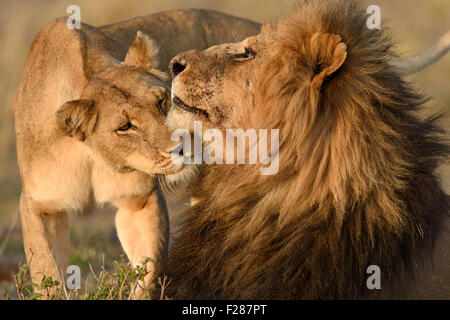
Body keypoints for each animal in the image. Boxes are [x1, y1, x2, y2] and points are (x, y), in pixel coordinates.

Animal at [14, 8, 260, 296]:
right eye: (125, 127)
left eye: (163, 101)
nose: (181, 147)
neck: (90, 154)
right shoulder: (39, 205)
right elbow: (46, 273)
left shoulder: (140, 199)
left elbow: (148, 272)